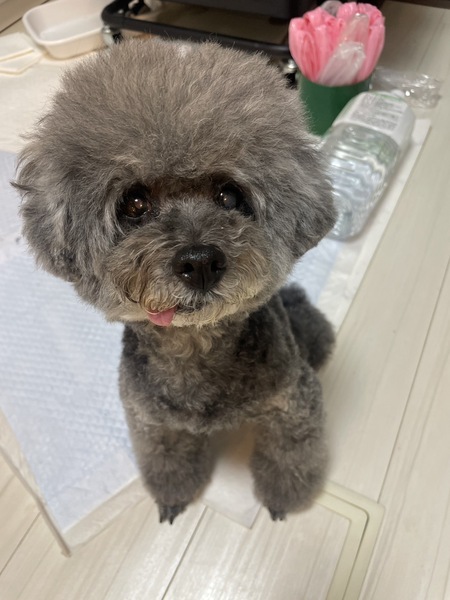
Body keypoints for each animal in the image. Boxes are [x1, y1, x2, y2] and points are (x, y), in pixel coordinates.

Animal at [15, 39, 336, 523]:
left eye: (229, 195)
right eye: (134, 203)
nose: (201, 261)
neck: (194, 347)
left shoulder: (294, 404)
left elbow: (290, 456)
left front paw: (283, 498)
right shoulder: (151, 424)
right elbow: (167, 460)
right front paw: (173, 496)